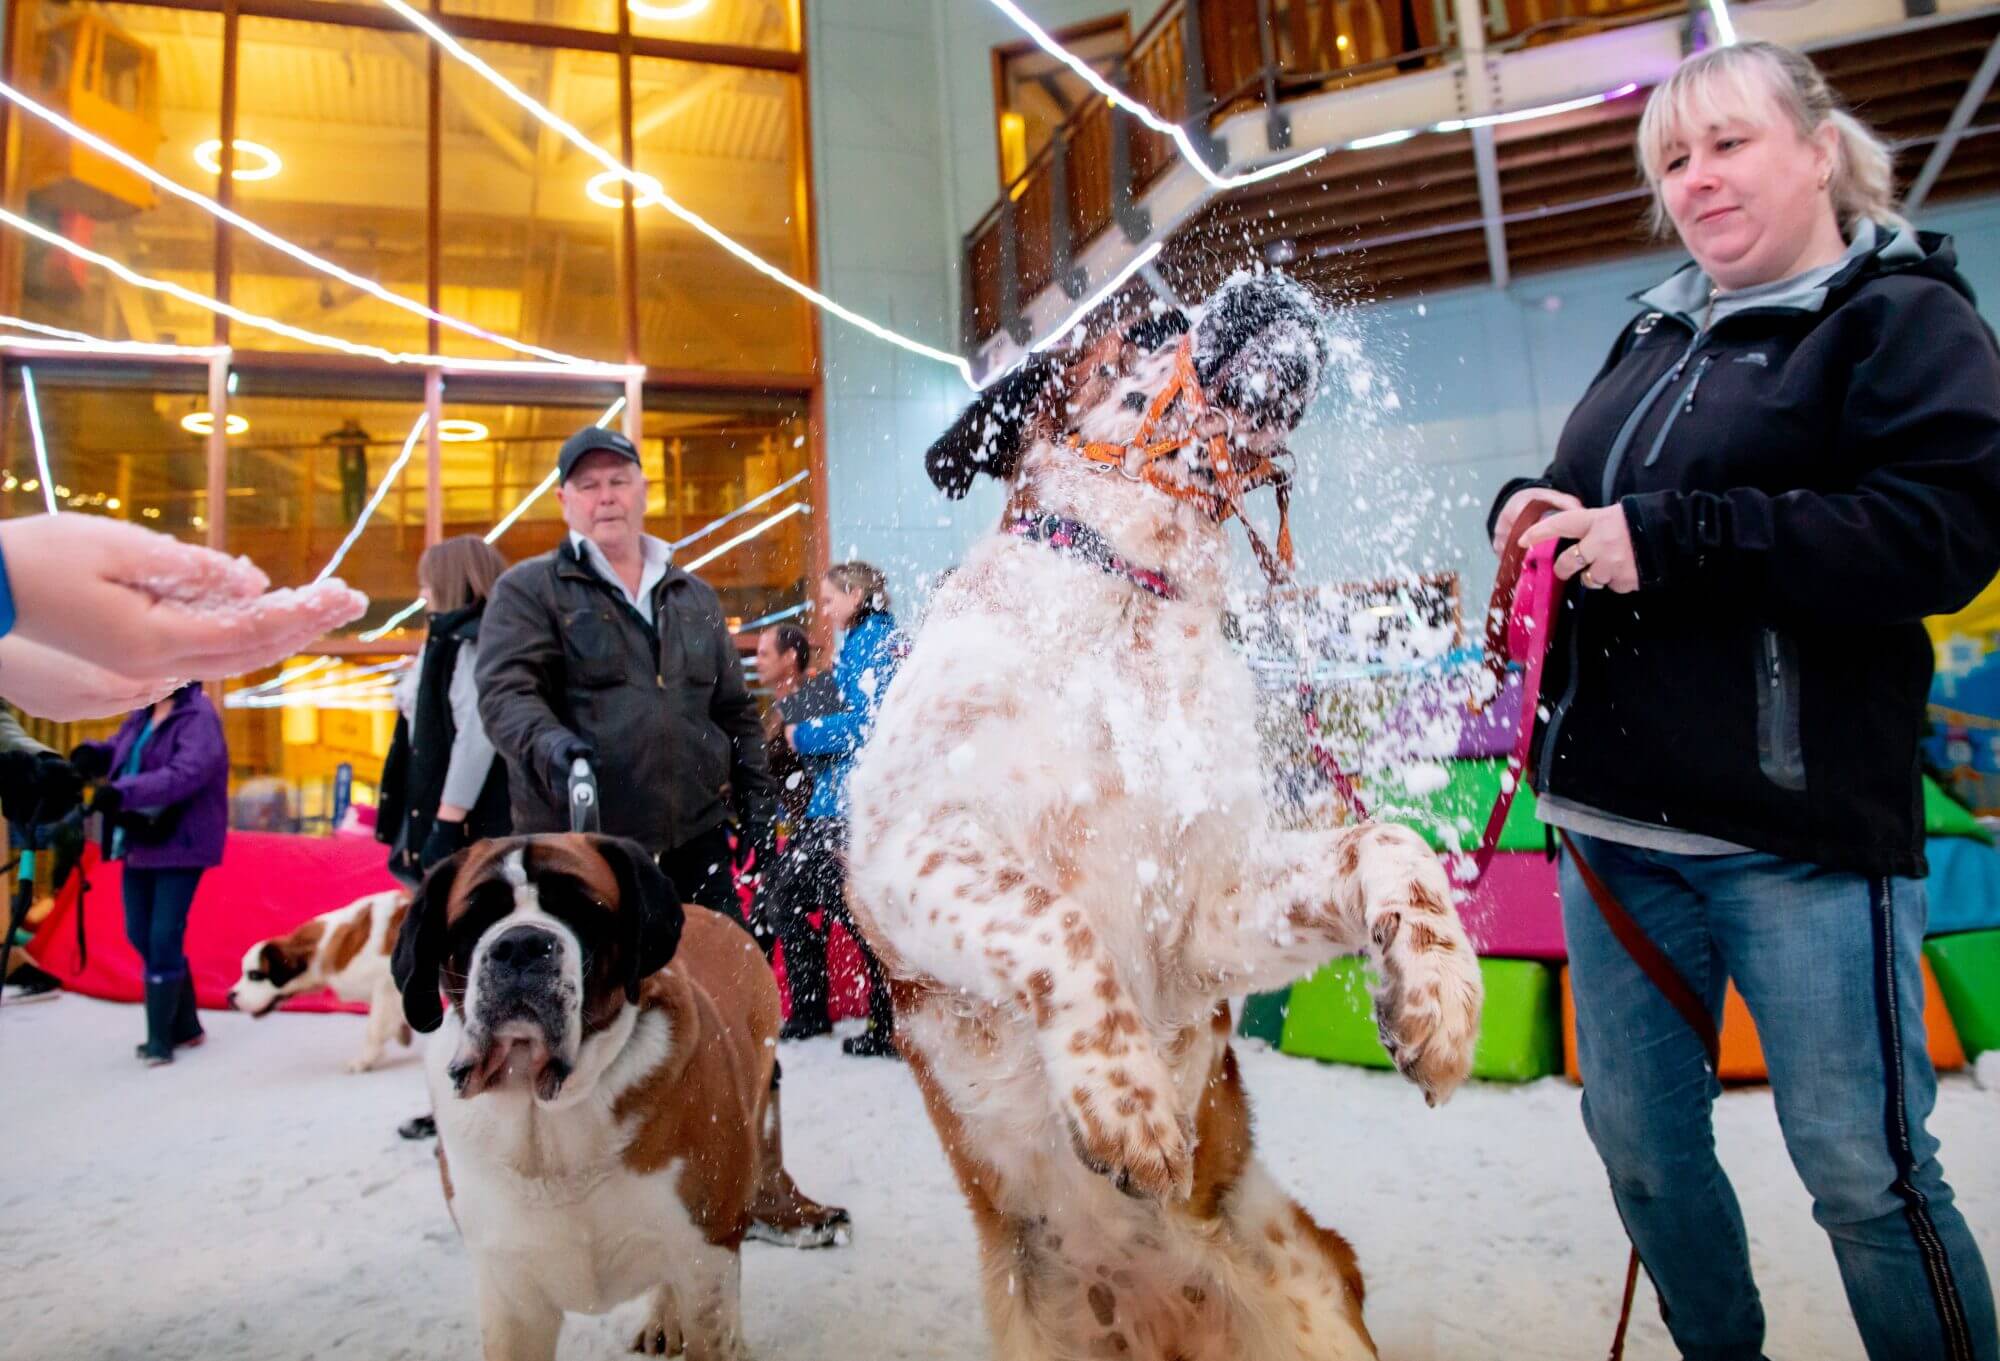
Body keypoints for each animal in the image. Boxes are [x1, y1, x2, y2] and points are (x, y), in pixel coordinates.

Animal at [228, 892, 414, 1072]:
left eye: (254, 975)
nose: (230, 996)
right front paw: (401, 1034)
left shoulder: (386, 984)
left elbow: (374, 1029)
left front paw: (364, 1060)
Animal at [394, 828, 848, 1361]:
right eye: (474, 919)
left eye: (581, 909)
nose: (521, 944)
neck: (548, 1118)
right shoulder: (510, 1290)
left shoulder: (704, 1253)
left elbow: (710, 1324)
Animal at [844, 270, 1488, 1352]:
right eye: (1146, 324)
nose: (1265, 279)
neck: (1125, 606)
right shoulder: (901, 857)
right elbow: (1052, 921)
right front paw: (1128, 1103)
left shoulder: (1199, 922)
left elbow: (1387, 841)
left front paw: (1438, 999)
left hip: (1314, 1298)